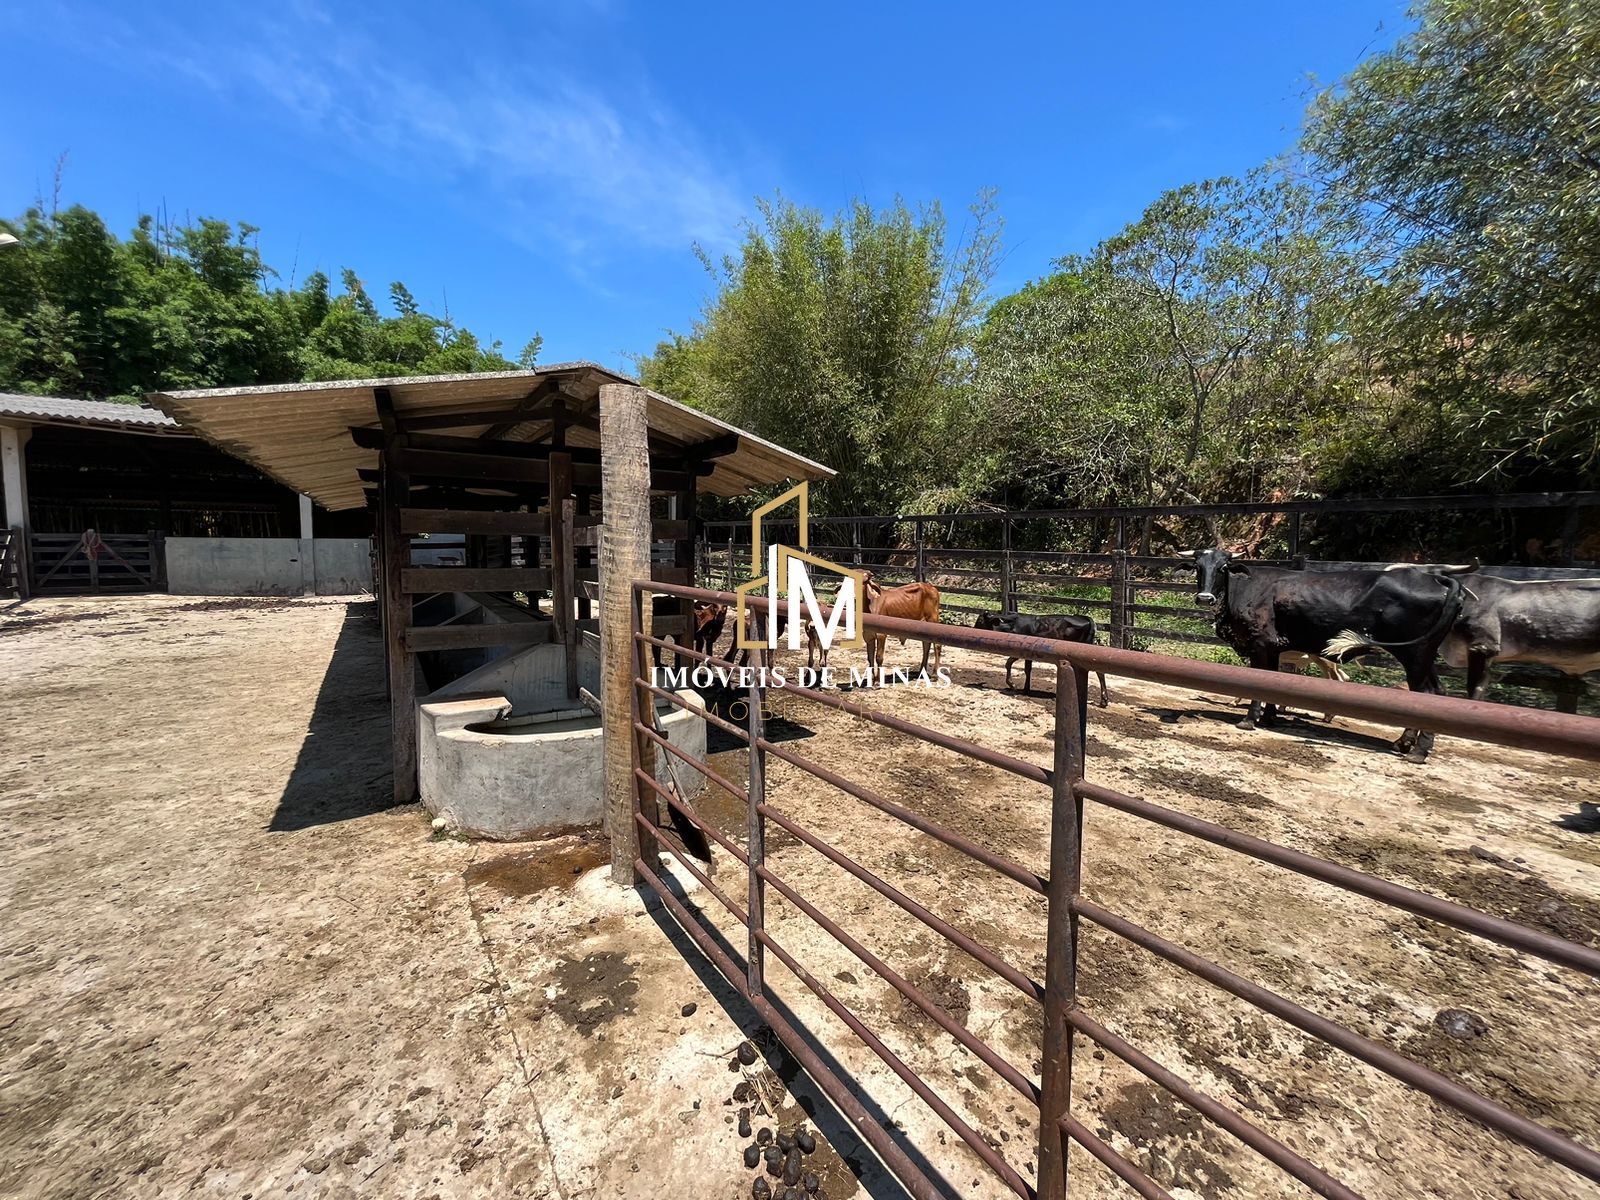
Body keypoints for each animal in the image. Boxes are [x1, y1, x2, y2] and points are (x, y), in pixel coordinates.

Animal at [966, 614, 1107, 710]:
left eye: (980, 620)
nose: (972, 629)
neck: (1012, 625)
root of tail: (1086, 618)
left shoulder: (1021, 650)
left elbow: (1010, 664)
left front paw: (1013, 685)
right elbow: (1026, 668)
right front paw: (1025, 688)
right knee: (1100, 672)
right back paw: (1104, 700)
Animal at [1184, 547, 1465, 761]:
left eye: (1223, 567)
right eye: (1198, 566)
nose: (1205, 598)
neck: (1245, 589)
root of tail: (1436, 579)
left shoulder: (1260, 645)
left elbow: (1260, 681)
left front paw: (1250, 719)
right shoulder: (1273, 648)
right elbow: (1273, 680)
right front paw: (1270, 716)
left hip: (1413, 654)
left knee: (1426, 693)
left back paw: (1417, 749)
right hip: (1424, 655)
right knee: (1435, 692)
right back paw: (1406, 743)